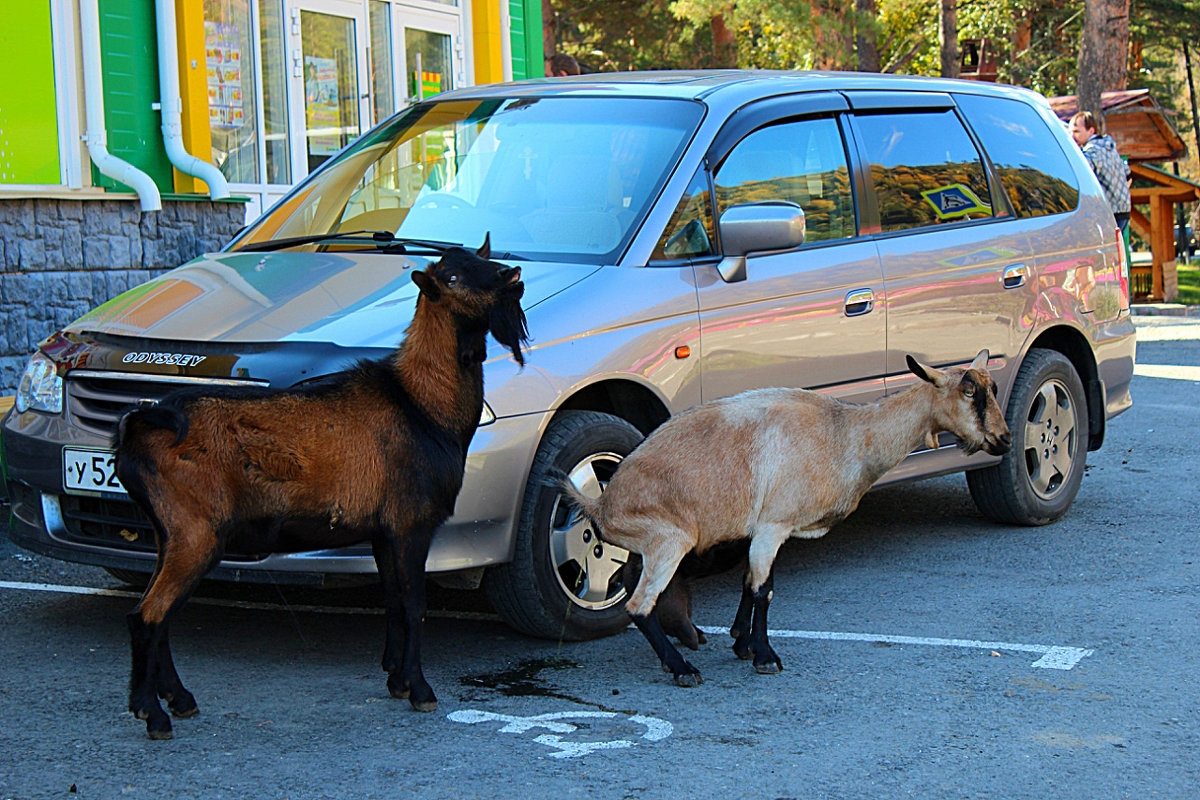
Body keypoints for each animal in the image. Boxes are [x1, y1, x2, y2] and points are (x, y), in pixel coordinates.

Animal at [115, 237, 525, 738]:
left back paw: (179, 700)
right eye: (451, 276)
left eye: (482, 258)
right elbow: (414, 604)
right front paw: (421, 690)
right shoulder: (411, 521)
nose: (510, 275)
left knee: (160, 614)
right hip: (195, 529)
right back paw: (151, 713)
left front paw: (396, 679)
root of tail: (142, 424)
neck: (422, 404)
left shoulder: (382, 530)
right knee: (147, 615)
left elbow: (392, 601)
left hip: (167, 531)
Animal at [564, 352, 1012, 690]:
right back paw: (682, 668)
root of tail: (601, 506)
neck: (846, 435)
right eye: (969, 392)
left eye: (991, 389)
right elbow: (764, 590)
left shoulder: (765, 530)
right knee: (638, 603)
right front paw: (765, 657)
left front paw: (742, 644)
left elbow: (752, 583)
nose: (1005, 440)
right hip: (668, 539)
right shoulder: (773, 525)